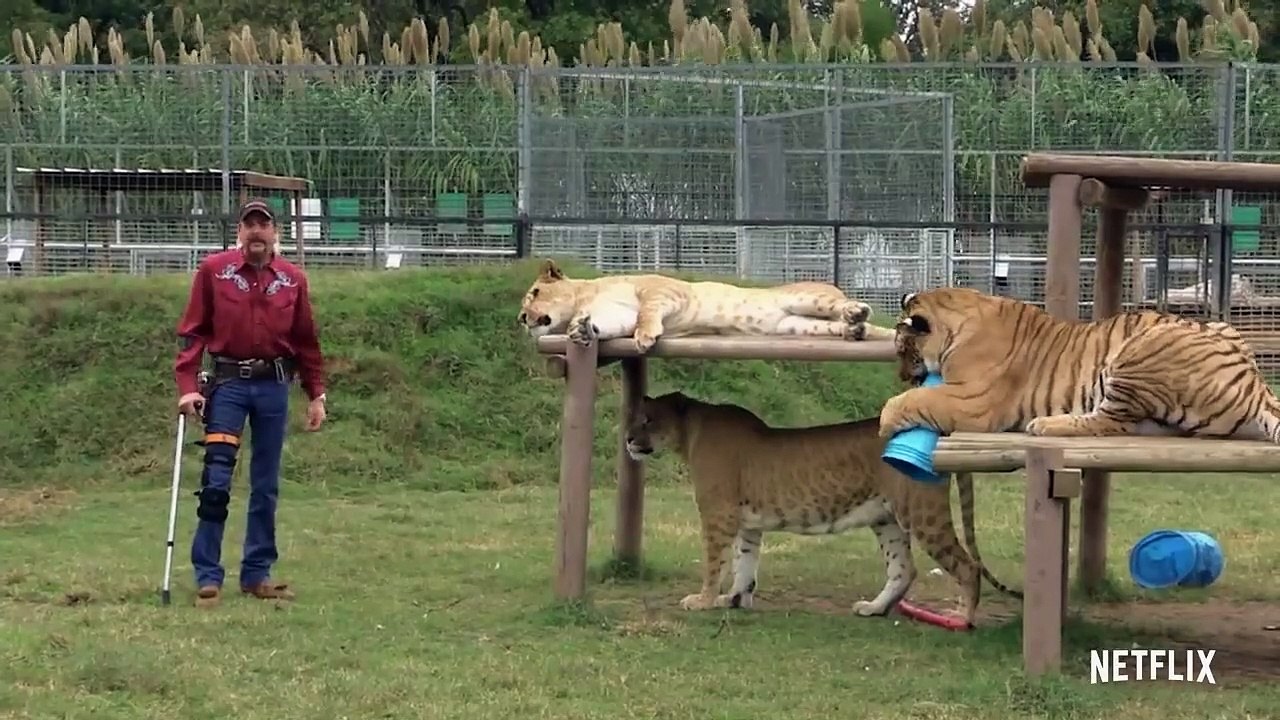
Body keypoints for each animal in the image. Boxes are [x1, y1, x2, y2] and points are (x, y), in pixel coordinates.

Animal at [517, 259, 895, 353]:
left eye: (534, 292)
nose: (521, 318)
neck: (586, 294)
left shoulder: (664, 291)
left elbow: (647, 313)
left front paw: (646, 336)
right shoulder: (618, 312)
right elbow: (612, 323)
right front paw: (582, 329)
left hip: (806, 298)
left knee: (844, 305)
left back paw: (856, 313)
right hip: (796, 325)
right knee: (838, 325)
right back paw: (854, 330)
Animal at [623, 390, 1022, 626]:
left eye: (647, 419)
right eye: (635, 417)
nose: (627, 438)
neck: (688, 431)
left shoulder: (718, 514)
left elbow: (714, 561)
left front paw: (703, 599)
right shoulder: (747, 522)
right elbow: (744, 562)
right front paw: (734, 599)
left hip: (922, 514)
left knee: (967, 567)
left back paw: (961, 617)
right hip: (887, 519)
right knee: (903, 569)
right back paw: (874, 608)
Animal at [879, 286, 1279, 443]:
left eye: (903, 352)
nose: (902, 376)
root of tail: (1256, 386)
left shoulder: (973, 402)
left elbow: (911, 402)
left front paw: (885, 424)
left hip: (1139, 350)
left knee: (1109, 422)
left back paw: (1044, 425)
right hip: (1220, 329)